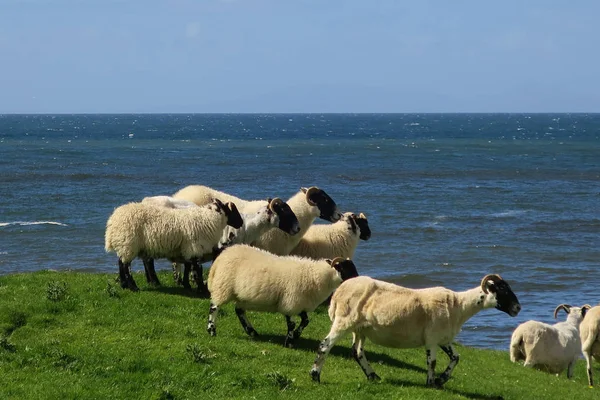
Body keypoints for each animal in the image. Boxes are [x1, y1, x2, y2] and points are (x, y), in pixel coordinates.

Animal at [104, 198, 243, 292]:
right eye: (231, 209)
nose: (241, 222)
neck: (208, 218)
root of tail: (113, 219)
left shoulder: (188, 248)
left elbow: (188, 266)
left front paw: (187, 285)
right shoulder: (194, 246)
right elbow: (196, 269)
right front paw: (200, 288)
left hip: (125, 244)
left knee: (121, 262)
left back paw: (124, 285)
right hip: (129, 243)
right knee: (126, 265)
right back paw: (133, 286)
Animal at [206, 242, 358, 348]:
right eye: (344, 268)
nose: (358, 280)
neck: (316, 275)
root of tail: (223, 254)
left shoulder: (301, 304)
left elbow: (306, 321)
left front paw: (296, 336)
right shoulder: (290, 302)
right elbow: (292, 323)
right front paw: (289, 342)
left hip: (243, 295)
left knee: (239, 310)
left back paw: (252, 332)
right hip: (223, 286)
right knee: (214, 307)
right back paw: (211, 330)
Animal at [310, 274, 520, 386]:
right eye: (502, 289)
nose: (518, 308)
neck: (458, 306)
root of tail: (338, 292)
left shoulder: (443, 339)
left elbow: (456, 357)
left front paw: (441, 380)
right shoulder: (432, 338)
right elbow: (432, 362)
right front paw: (431, 384)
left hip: (360, 329)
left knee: (357, 352)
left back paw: (373, 376)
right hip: (343, 321)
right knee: (325, 345)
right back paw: (315, 376)